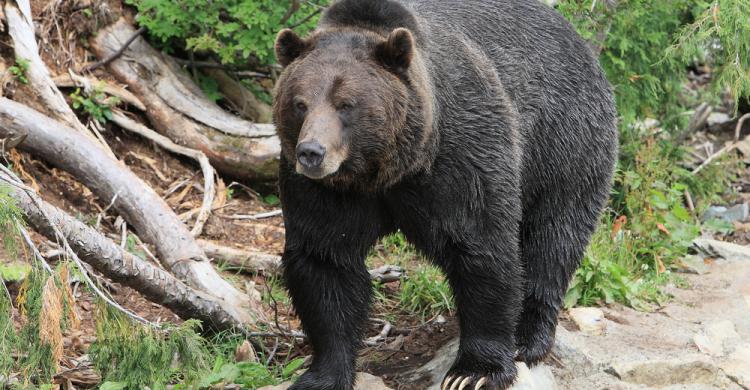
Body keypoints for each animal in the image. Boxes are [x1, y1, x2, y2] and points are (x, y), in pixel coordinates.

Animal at [274, 0, 620, 390]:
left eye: (345, 104)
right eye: (300, 103)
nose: (311, 153)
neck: (387, 170)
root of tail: (583, 47)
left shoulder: (460, 156)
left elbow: (481, 247)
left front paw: (474, 371)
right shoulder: (326, 193)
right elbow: (326, 262)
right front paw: (322, 375)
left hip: (565, 146)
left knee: (553, 239)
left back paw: (529, 338)